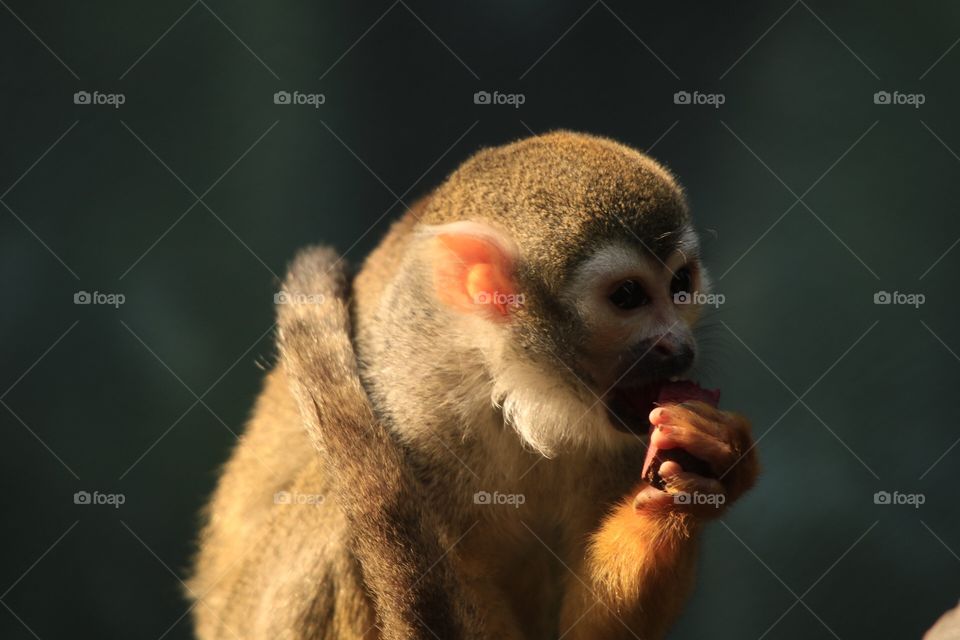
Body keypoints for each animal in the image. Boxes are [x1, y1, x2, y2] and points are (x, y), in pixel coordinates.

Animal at [189, 131, 759, 639]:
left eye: (680, 285)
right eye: (628, 297)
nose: (679, 347)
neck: (519, 384)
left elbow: (592, 627)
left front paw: (703, 476)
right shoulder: (414, 409)